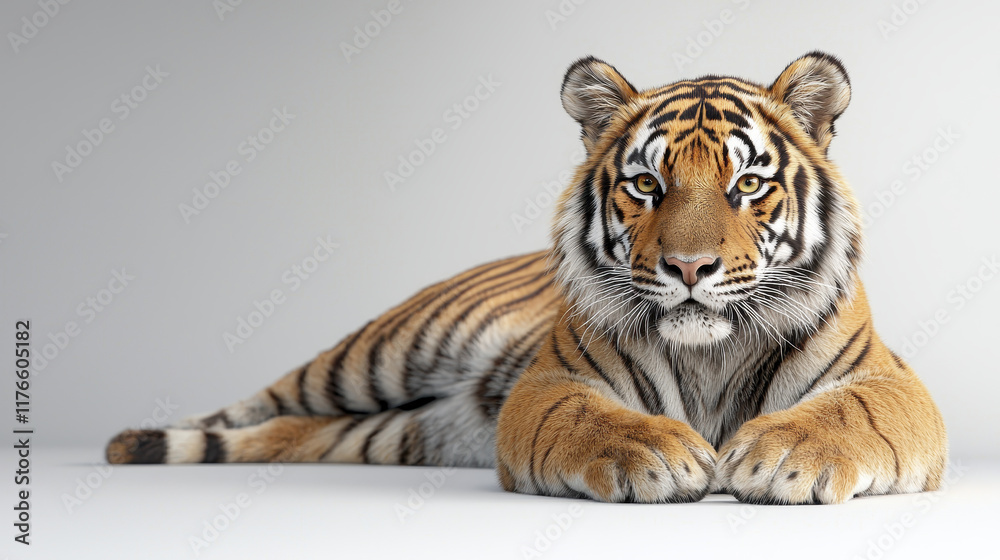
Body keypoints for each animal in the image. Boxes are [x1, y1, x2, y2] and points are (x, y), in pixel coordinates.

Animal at [107, 51, 947, 505]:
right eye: (647, 185)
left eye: (746, 186)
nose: (688, 268)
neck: (709, 352)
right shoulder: (550, 383)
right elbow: (594, 420)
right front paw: (662, 458)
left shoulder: (891, 381)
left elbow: (849, 413)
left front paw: (778, 458)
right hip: (379, 354)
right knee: (263, 402)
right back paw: (125, 443)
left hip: (387, 432)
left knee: (288, 433)